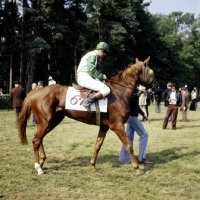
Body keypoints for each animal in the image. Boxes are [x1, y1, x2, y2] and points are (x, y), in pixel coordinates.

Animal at [18, 55, 159, 175]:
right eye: (151, 73)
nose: (156, 88)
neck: (119, 92)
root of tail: (35, 92)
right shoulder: (117, 126)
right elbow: (129, 145)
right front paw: (137, 169)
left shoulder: (104, 126)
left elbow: (97, 146)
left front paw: (93, 166)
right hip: (46, 122)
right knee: (36, 140)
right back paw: (39, 167)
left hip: (52, 121)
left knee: (39, 138)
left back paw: (41, 162)